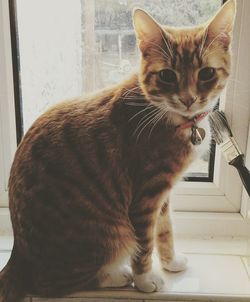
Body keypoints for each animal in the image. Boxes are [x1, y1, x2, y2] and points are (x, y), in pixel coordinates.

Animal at [0, 1, 235, 300]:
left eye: (206, 73)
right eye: (167, 75)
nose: (188, 99)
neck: (165, 113)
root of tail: (19, 255)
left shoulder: (162, 193)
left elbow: (165, 230)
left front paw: (171, 261)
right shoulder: (146, 194)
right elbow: (144, 243)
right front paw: (145, 280)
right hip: (109, 233)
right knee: (52, 284)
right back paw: (116, 275)